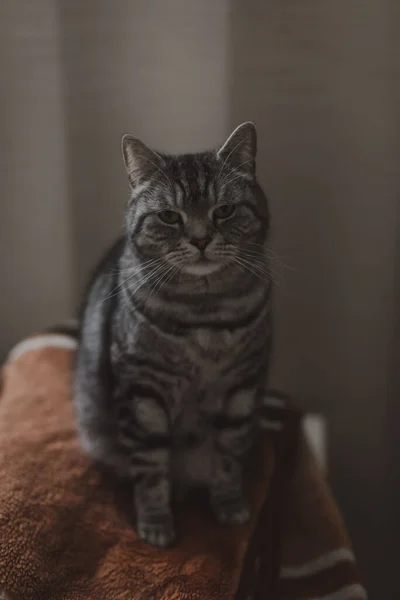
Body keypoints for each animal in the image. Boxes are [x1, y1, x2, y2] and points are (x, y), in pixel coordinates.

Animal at [74, 123, 272, 548]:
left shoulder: (242, 388)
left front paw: (231, 507)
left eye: (224, 210)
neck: (204, 315)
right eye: (169, 217)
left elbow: (228, 457)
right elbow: (150, 469)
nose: (200, 239)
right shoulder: (142, 391)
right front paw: (155, 525)